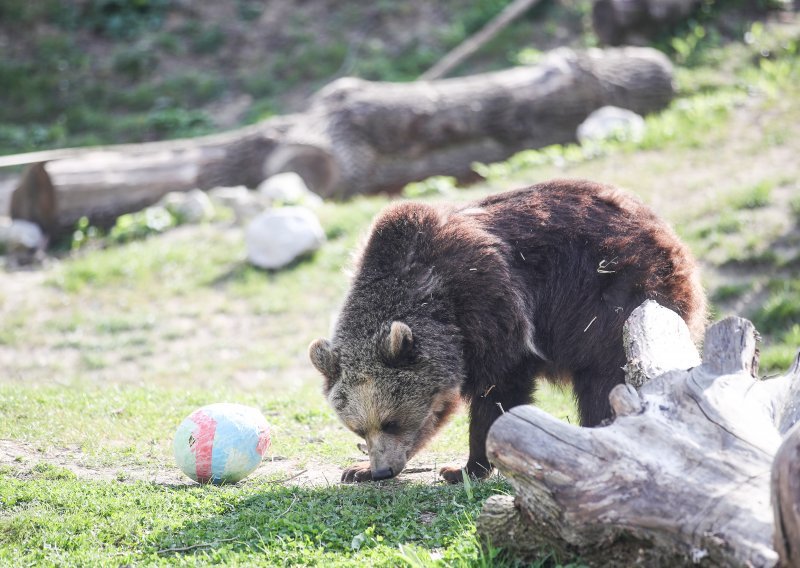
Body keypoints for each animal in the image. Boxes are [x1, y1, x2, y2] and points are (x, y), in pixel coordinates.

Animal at [310, 179, 704, 484]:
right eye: (358, 428)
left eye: (390, 422)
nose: (382, 470)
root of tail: (664, 229)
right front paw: (356, 469)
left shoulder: (490, 300)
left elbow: (498, 388)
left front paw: (464, 468)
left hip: (613, 296)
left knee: (604, 379)